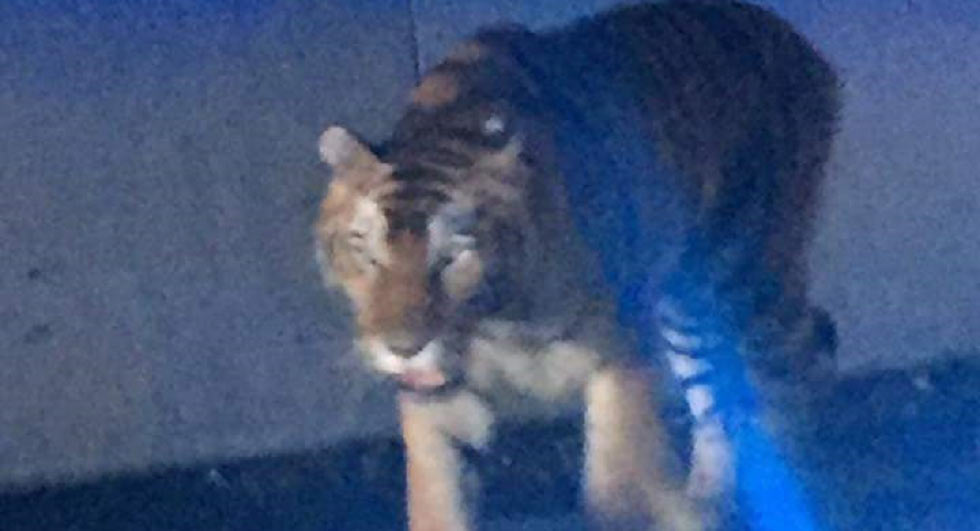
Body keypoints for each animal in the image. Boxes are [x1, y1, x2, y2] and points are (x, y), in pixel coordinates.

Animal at [312, 1, 840, 529]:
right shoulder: (435, 404)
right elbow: (439, 498)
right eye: (367, 253)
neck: (500, 324)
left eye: (453, 256)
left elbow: (616, 488)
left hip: (754, 283)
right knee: (716, 404)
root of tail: (795, 40)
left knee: (790, 376)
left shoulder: (622, 354)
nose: (403, 348)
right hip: (688, 312)